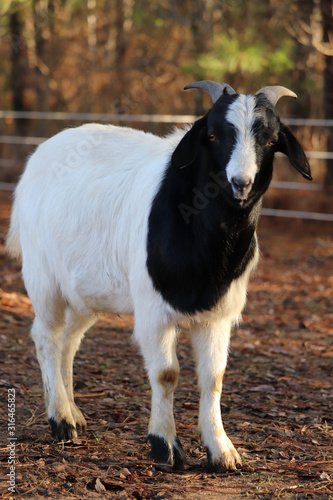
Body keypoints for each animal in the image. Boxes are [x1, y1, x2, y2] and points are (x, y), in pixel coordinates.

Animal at [6, 80, 310, 470]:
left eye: (271, 139)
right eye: (213, 135)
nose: (240, 182)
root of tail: (40, 155)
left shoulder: (220, 313)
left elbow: (214, 377)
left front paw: (222, 451)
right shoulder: (153, 310)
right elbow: (167, 374)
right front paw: (164, 446)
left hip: (86, 293)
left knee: (69, 342)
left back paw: (74, 413)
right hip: (44, 278)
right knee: (46, 337)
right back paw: (61, 421)